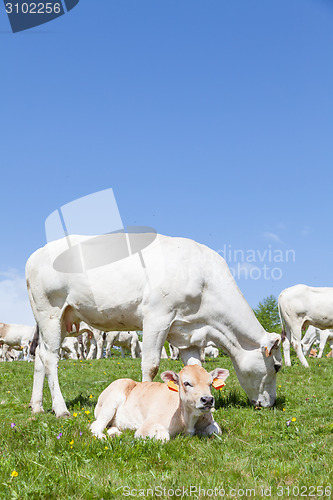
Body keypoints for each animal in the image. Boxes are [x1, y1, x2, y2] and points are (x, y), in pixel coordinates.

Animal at [25, 232, 280, 416]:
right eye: (277, 367)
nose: (271, 404)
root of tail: (35, 255)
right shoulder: (157, 317)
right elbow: (151, 365)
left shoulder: (188, 334)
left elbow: (196, 367)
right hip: (50, 311)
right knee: (51, 358)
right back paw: (60, 409)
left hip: (53, 318)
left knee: (40, 355)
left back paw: (37, 406)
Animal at [89, 364, 228, 442]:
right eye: (187, 383)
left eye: (211, 383)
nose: (207, 400)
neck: (187, 419)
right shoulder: (146, 427)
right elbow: (163, 437)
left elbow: (216, 430)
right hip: (111, 402)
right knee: (95, 426)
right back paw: (103, 437)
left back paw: (115, 433)